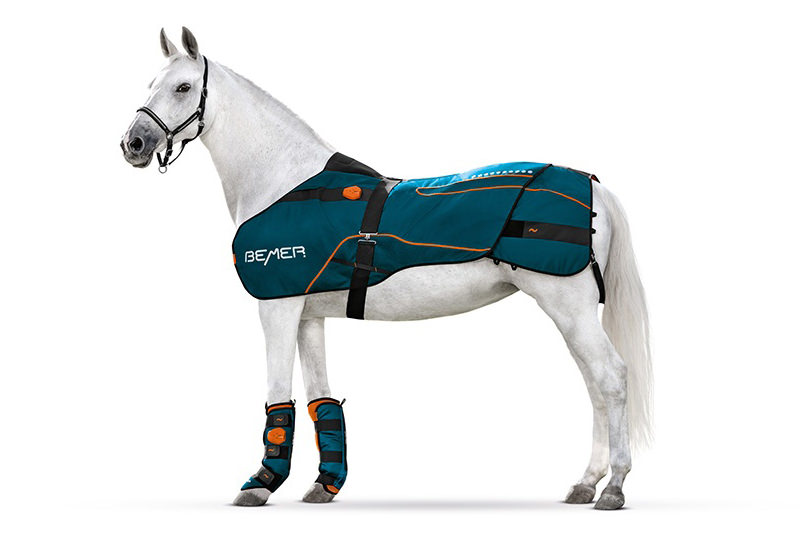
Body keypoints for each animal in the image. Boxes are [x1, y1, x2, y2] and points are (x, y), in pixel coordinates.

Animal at [120, 27, 652, 510]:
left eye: (183, 87)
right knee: (593, 386)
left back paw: (614, 487)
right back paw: (586, 483)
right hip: (571, 313)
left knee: (610, 379)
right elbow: (320, 401)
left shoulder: (277, 308)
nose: (134, 143)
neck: (282, 181)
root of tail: (593, 185)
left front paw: (261, 483)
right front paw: (324, 485)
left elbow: (277, 397)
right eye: (151, 83)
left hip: (569, 307)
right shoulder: (309, 316)